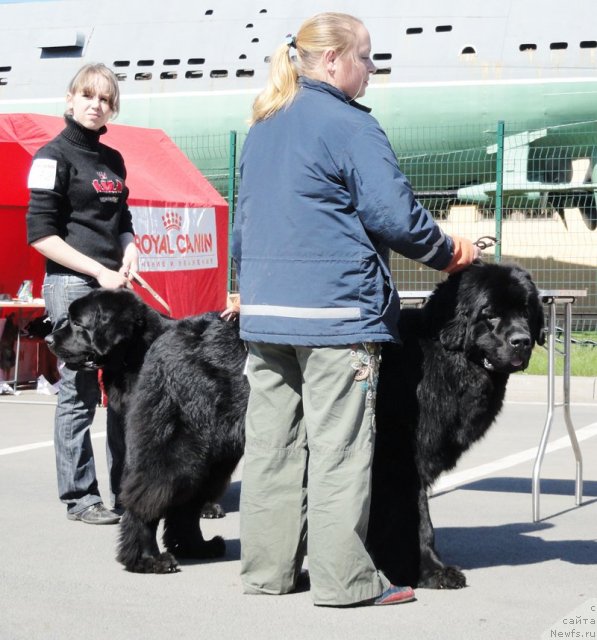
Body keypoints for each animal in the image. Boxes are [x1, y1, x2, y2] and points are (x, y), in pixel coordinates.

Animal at [46, 262, 544, 584]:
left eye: (527, 311)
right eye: (490, 314)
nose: (522, 342)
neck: (446, 353)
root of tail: (166, 334)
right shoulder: (402, 463)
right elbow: (419, 522)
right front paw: (428, 571)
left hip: (214, 450)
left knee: (187, 502)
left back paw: (196, 547)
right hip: (181, 444)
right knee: (147, 497)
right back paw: (146, 559)